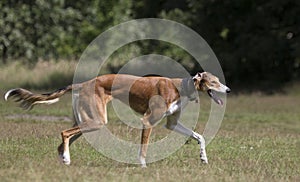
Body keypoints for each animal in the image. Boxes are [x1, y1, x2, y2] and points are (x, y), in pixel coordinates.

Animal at [4, 72, 230, 167]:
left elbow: (199, 136)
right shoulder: (148, 121)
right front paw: (143, 167)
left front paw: (203, 158)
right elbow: (143, 149)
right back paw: (66, 159)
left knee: (63, 141)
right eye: (213, 82)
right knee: (63, 133)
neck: (179, 87)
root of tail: (84, 83)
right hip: (96, 121)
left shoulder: (171, 123)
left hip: (86, 122)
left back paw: (64, 160)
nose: (228, 90)